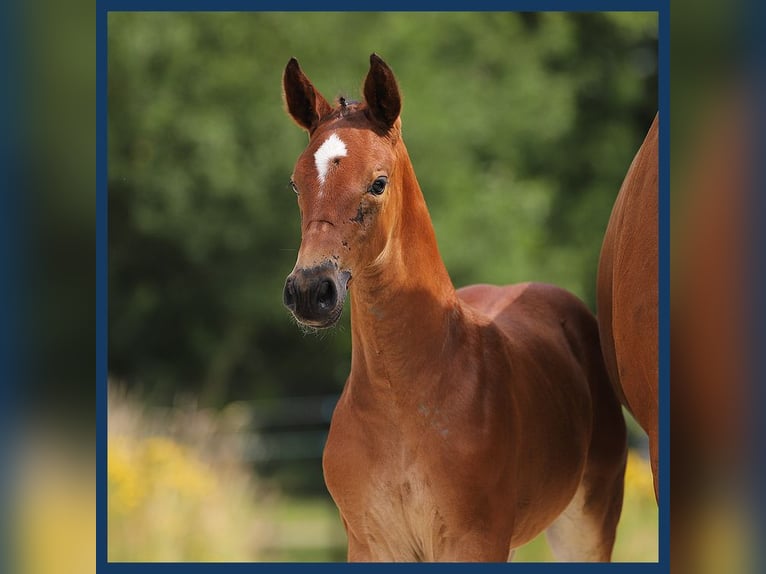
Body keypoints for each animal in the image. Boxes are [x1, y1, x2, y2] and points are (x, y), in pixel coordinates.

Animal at [284, 55, 632, 568]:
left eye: (378, 183)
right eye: (296, 184)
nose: (311, 290)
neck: (403, 400)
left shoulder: (475, 540)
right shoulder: (371, 543)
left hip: (589, 520)